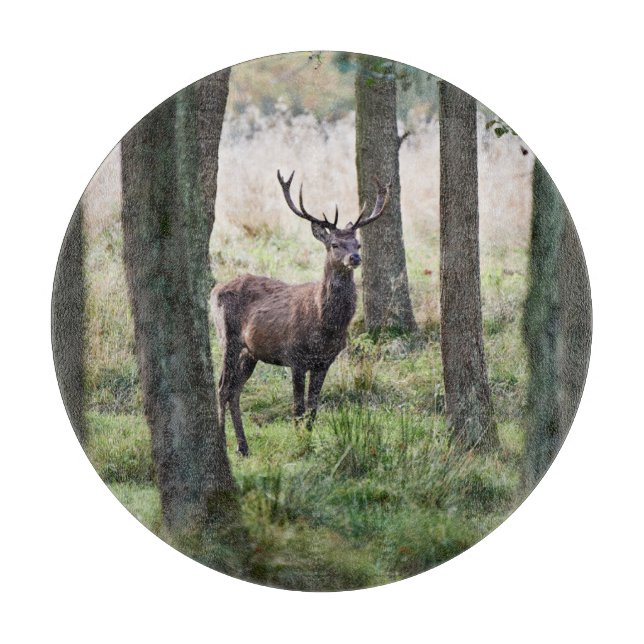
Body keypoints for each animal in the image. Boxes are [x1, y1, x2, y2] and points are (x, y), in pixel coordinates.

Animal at [211, 170, 389, 455]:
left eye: (358, 244)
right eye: (334, 244)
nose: (354, 258)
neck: (324, 325)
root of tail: (215, 289)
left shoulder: (323, 362)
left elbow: (313, 409)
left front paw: (309, 442)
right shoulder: (294, 356)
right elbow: (297, 408)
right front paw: (299, 446)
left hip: (250, 352)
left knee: (234, 390)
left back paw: (243, 446)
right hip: (227, 337)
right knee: (222, 387)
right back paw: (222, 441)